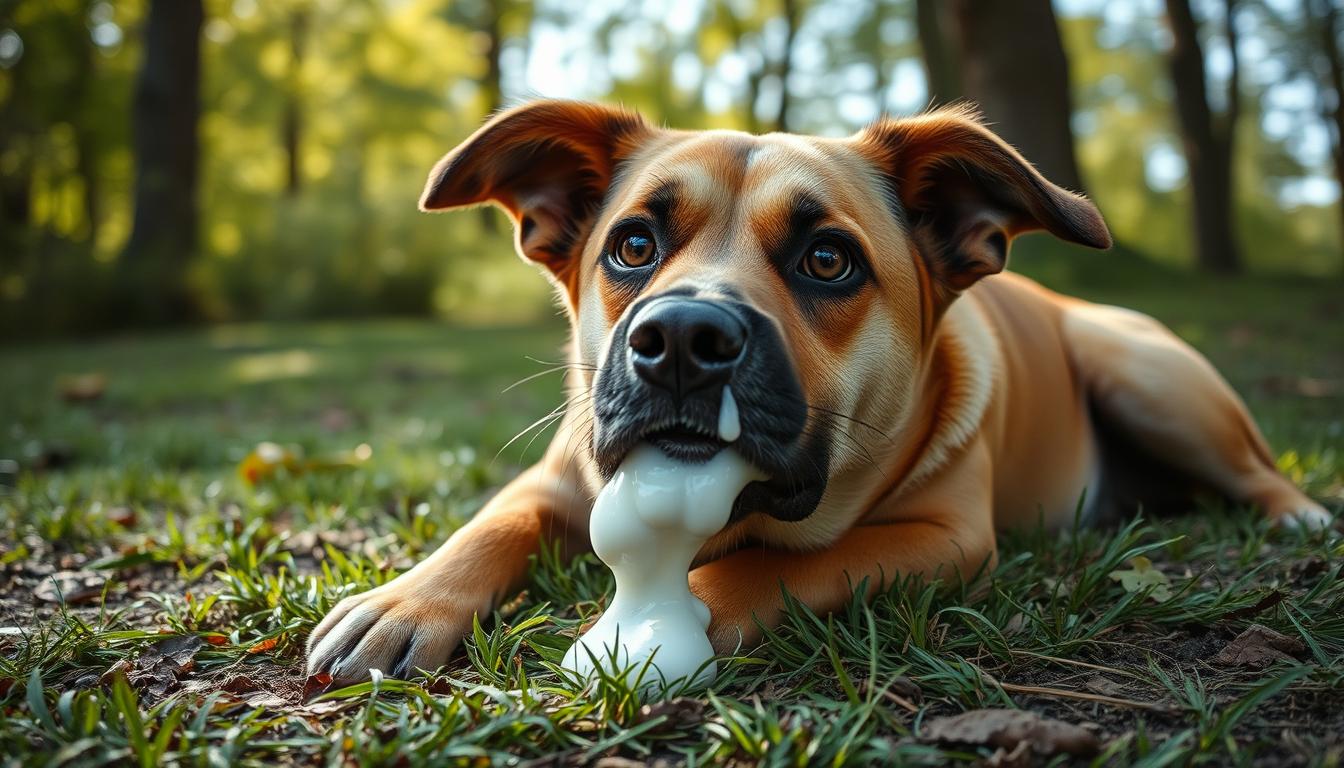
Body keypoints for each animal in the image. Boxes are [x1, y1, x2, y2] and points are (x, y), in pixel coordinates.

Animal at [307, 98, 1333, 683]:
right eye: (633, 245)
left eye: (828, 260)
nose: (680, 341)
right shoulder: (556, 477)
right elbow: (494, 522)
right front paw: (404, 601)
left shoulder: (943, 537)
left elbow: (779, 563)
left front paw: (660, 625)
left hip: (1146, 374)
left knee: (1256, 470)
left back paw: (1301, 517)